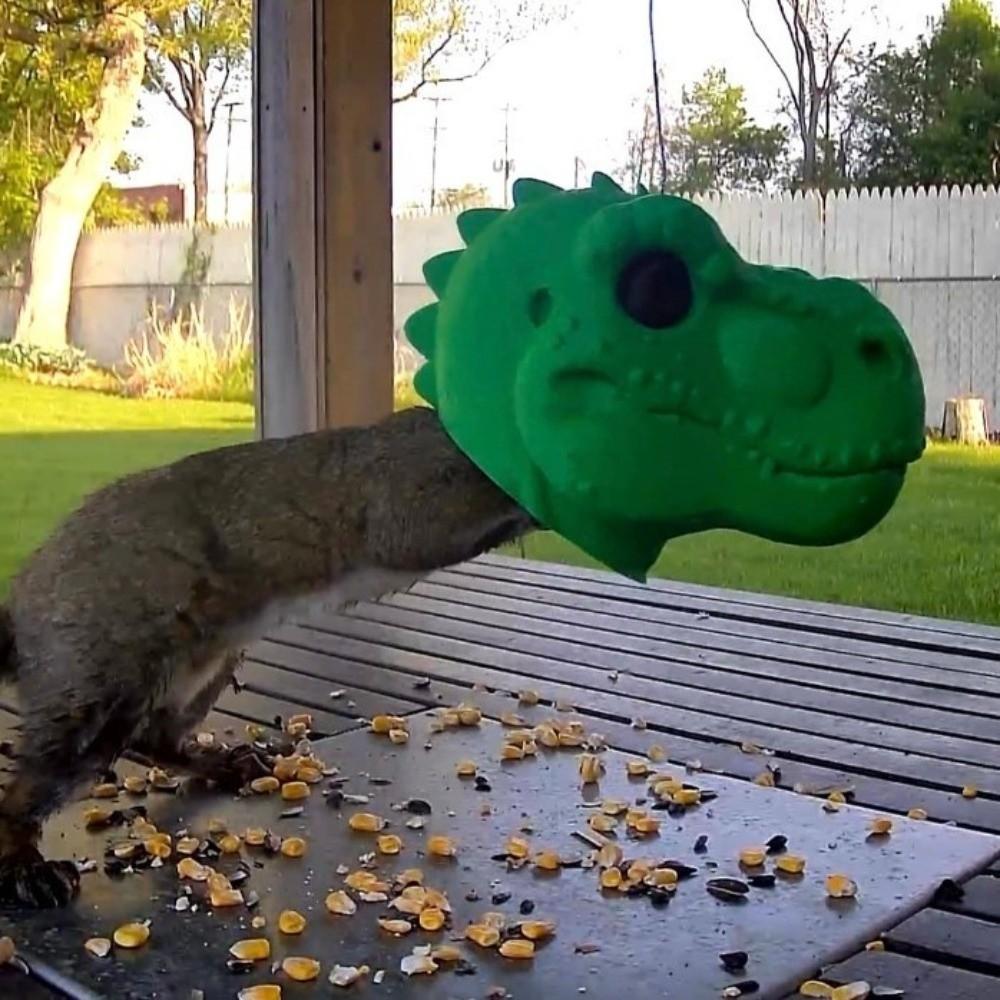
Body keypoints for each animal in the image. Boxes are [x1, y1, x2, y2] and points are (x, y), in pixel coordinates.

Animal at [0, 405, 534, 907]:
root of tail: (24, 605)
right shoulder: (404, 490)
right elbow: (420, 525)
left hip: (206, 667)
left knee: (158, 736)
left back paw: (225, 763)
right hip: (100, 672)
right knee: (35, 785)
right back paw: (26, 864)